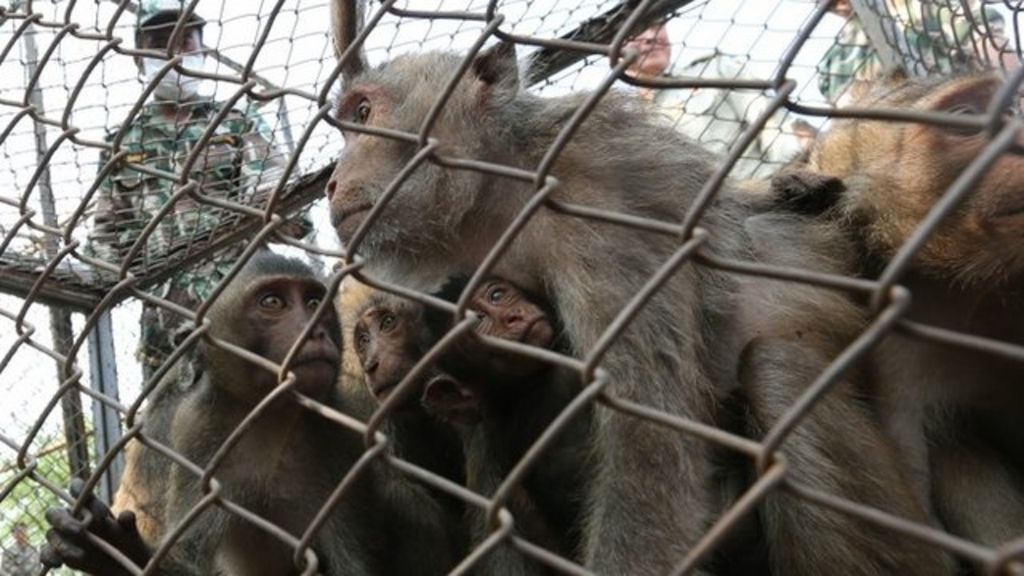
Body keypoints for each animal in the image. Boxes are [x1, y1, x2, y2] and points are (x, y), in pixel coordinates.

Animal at [42, 251, 456, 576]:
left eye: (313, 303)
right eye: (272, 303)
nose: (316, 331)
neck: (271, 413)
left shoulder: (341, 430)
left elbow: (355, 565)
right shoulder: (194, 428)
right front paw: (113, 555)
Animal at [325, 9, 947, 572]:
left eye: (364, 114)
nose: (330, 181)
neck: (498, 193)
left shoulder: (600, 220)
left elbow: (645, 442)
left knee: (776, 373)